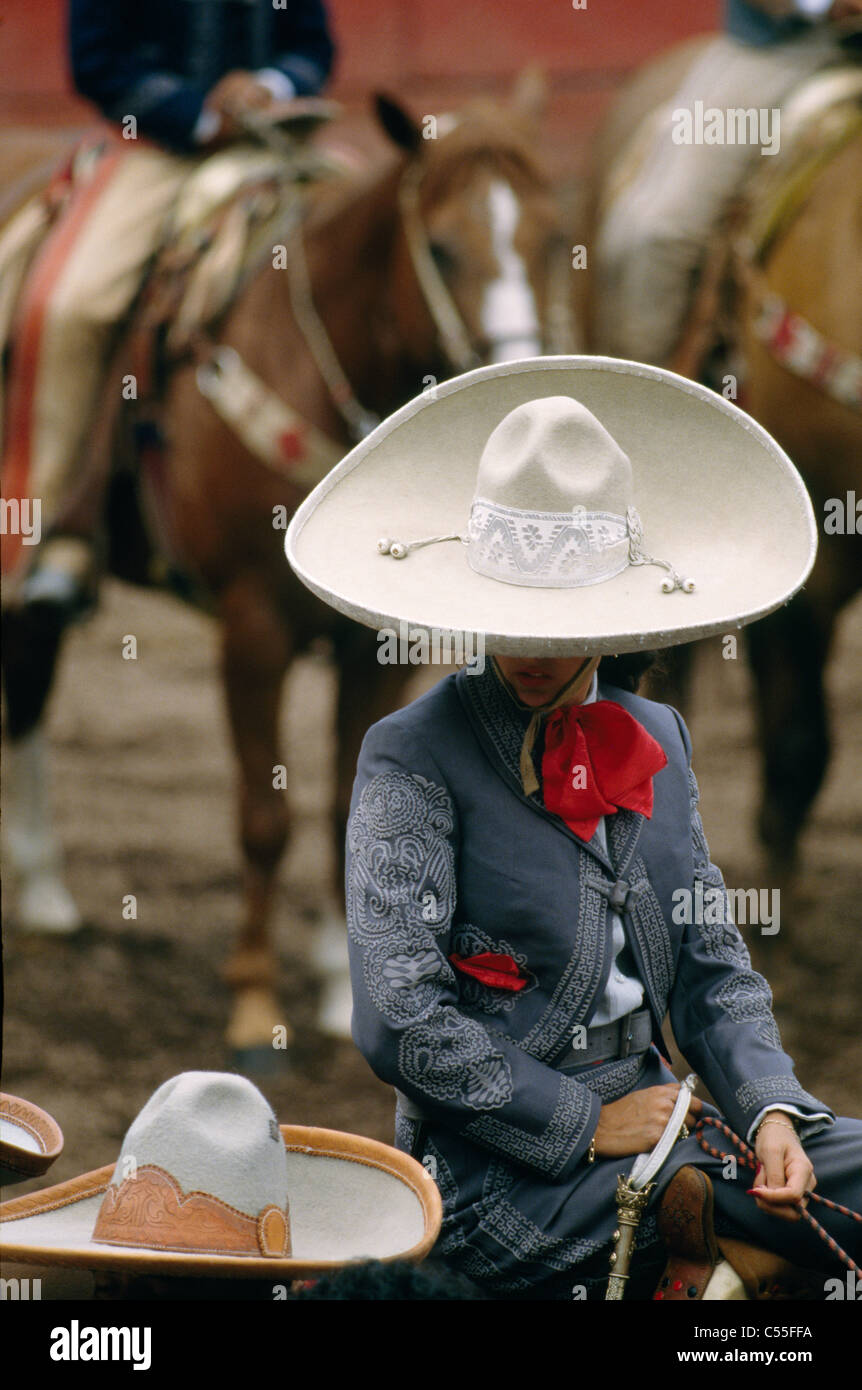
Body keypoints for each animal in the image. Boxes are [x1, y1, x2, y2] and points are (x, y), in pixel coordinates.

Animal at [1, 78, 572, 1061]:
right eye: (444, 245)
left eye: (549, 234)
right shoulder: (253, 629)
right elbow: (264, 821)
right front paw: (252, 1003)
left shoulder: (378, 646)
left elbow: (359, 799)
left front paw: (346, 993)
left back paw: (43, 892)